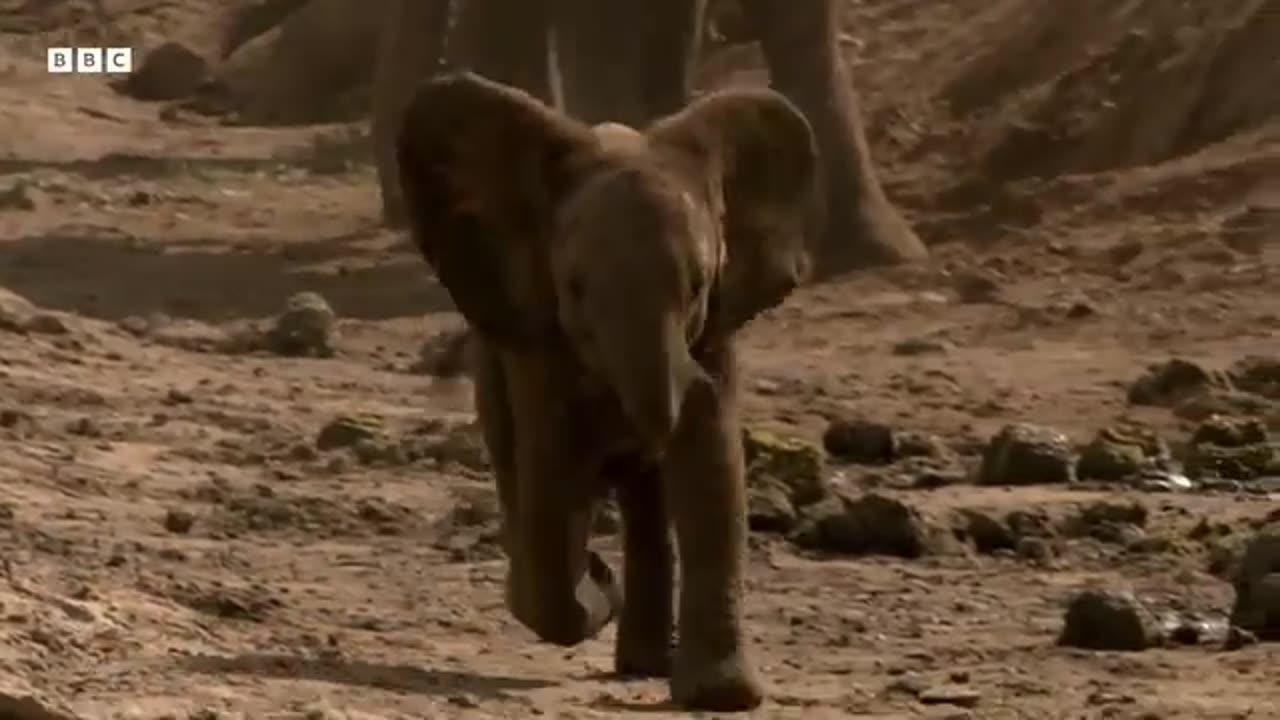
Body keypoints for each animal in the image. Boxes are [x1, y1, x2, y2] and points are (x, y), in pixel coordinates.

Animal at [396, 70, 819, 707]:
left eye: (697, 286)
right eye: (574, 287)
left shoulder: (717, 334)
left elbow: (716, 467)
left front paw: (720, 697)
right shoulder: (539, 347)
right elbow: (552, 473)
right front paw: (596, 585)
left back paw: (643, 663)